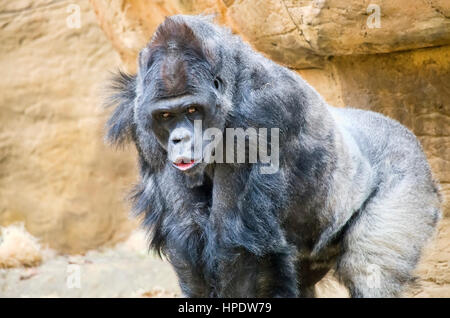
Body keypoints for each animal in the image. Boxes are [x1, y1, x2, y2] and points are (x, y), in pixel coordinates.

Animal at [104, 14, 440, 298]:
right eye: (165, 115)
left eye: (192, 110)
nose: (179, 139)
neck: (230, 84)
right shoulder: (143, 125)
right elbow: (186, 233)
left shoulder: (260, 116)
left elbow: (238, 249)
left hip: (410, 172)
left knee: (371, 271)